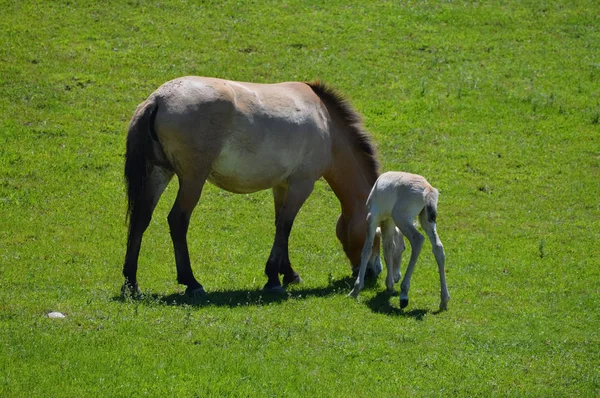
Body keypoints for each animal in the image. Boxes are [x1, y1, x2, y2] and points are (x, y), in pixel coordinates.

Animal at [122, 76, 382, 296]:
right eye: (377, 234)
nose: (374, 271)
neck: (325, 121)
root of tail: (159, 98)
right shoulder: (302, 184)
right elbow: (286, 226)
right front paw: (273, 279)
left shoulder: (282, 186)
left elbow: (280, 225)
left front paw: (287, 273)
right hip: (192, 179)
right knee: (177, 220)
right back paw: (192, 282)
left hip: (159, 172)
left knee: (141, 219)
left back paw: (131, 284)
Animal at [346, 171, 450, 310]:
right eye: (402, 249)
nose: (397, 277)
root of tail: (427, 188)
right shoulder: (389, 220)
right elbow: (388, 248)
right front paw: (389, 286)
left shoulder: (372, 217)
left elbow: (367, 249)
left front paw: (355, 289)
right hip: (426, 220)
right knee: (438, 247)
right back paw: (444, 300)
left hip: (402, 219)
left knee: (418, 240)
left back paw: (404, 294)